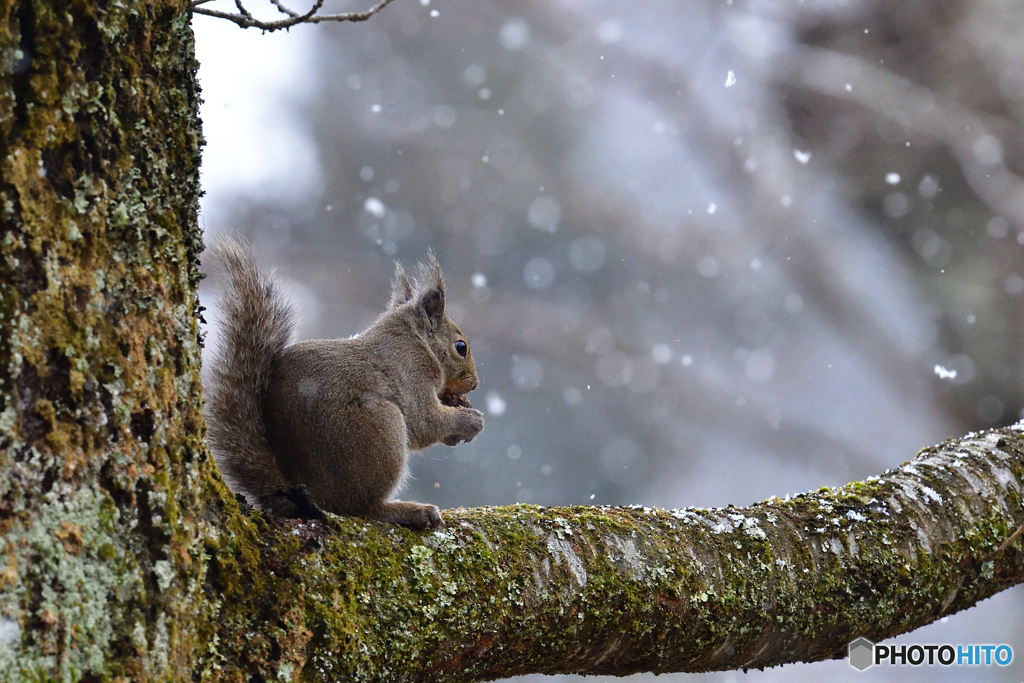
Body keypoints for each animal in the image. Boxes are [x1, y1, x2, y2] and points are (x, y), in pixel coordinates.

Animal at [205, 237, 485, 532]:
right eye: (461, 347)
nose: (474, 384)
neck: (412, 338)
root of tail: (302, 494)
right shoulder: (411, 370)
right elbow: (424, 421)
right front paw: (469, 421)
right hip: (379, 429)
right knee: (360, 508)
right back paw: (408, 511)